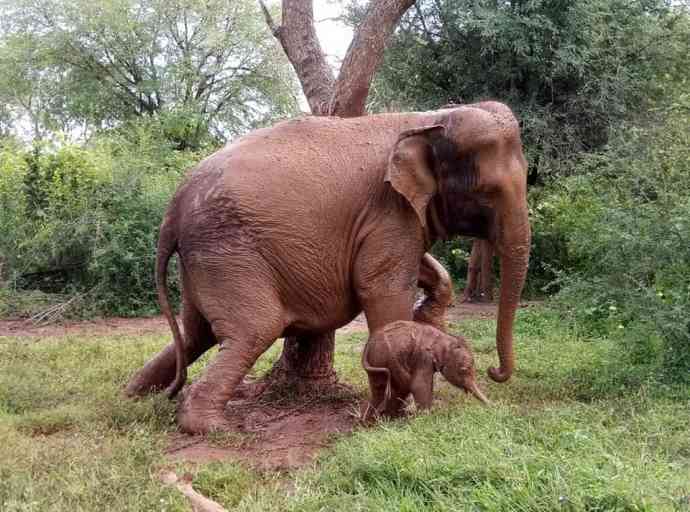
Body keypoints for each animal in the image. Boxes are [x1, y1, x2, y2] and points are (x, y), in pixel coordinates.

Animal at [125, 101, 530, 434]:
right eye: (489, 192)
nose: (495, 372)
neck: (430, 117)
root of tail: (172, 211)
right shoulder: (389, 211)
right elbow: (383, 291)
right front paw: (393, 415)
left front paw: (427, 315)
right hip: (227, 250)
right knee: (253, 330)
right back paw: (215, 428)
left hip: (204, 258)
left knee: (197, 335)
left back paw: (132, 396)